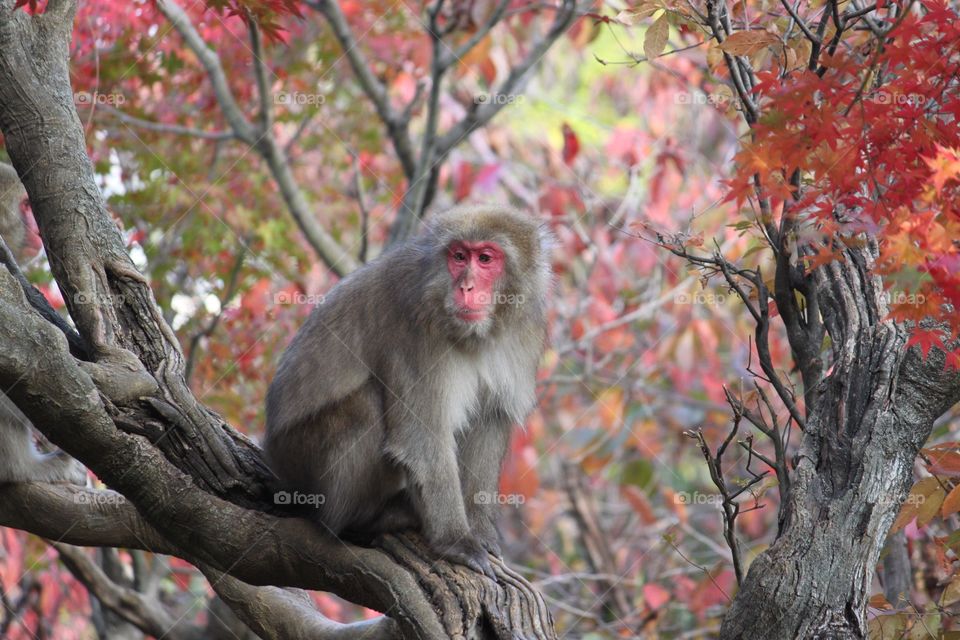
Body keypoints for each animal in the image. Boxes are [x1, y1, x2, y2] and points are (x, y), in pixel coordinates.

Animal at [264, 204, 550, 576]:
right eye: (459, 256)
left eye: (486, 258)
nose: (466, 286)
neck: (478, 334)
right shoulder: (415, 332)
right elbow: (423, 438)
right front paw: (457, 541)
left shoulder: (524, 331)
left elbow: (490, 418)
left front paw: (480, 529)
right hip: (302, 458)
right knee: (366, 405)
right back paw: (361, 519)